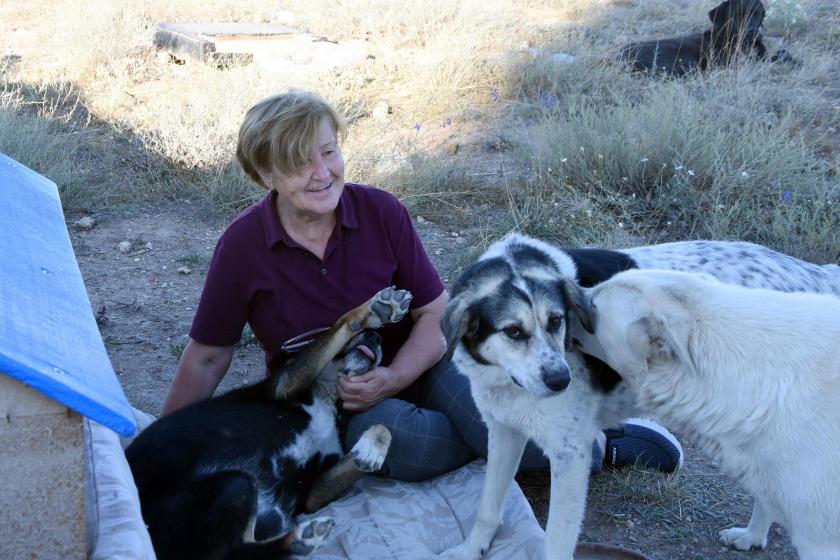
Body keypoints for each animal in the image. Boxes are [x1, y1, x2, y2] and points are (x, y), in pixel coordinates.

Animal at [126, 286, 412, 560]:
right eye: (362, 335)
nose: (376, 338)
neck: (327, 397)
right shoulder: (284, 385)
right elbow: (341, 322)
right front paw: (379, 308)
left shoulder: (311, 496)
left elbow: (384, 429)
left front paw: (371, 450)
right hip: (235, 484)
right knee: (233, 552)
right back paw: (302, 537)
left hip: (267, 514)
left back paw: (303, 537)